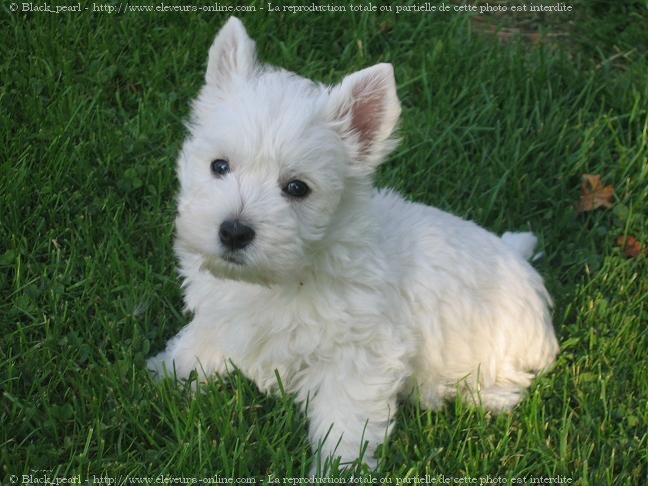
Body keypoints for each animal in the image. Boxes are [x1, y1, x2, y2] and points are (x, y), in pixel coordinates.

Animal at [147, 17, 556, 472]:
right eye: (219, 166)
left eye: (297, 188)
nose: (233, 231)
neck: (292, 273)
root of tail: (515, 255)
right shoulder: (224, 313)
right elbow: (198, 345)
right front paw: (163, 374)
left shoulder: (360, 358)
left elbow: (345, 421)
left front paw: (336, 468)